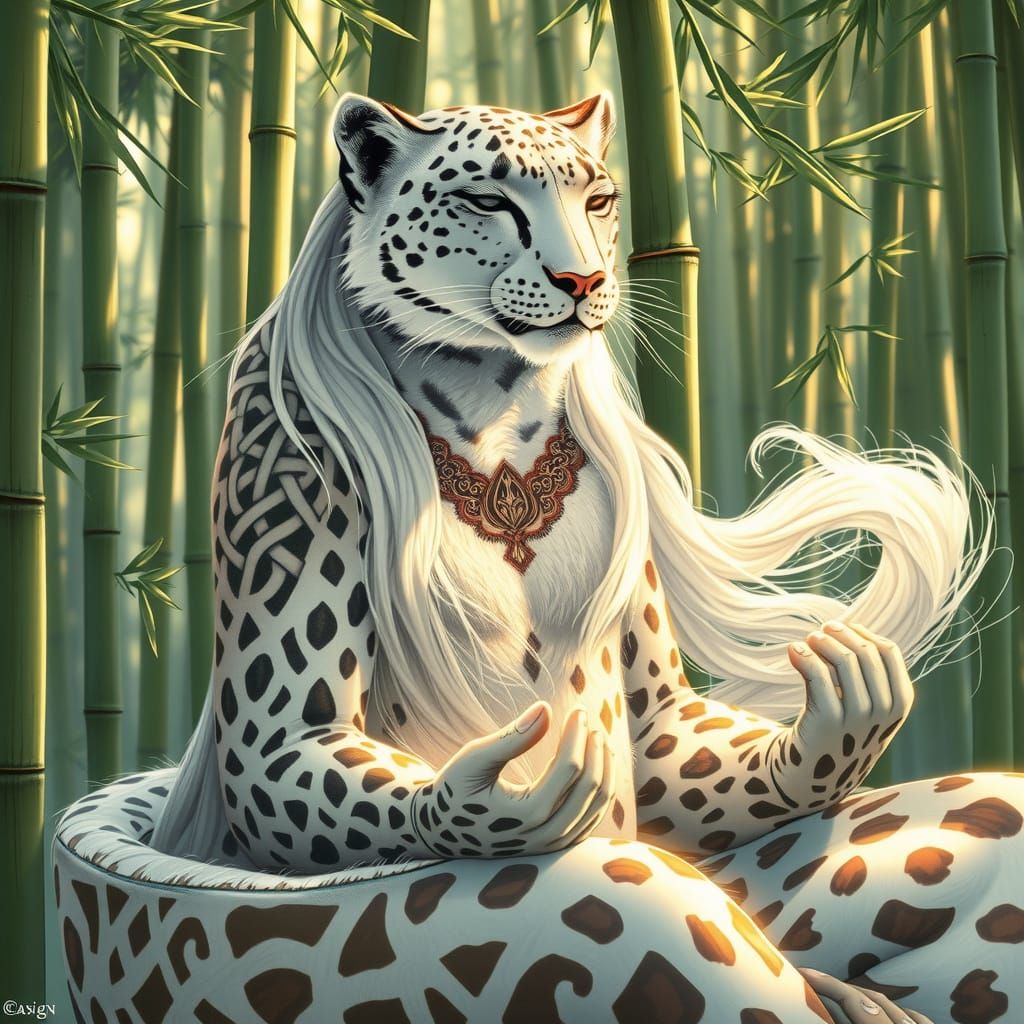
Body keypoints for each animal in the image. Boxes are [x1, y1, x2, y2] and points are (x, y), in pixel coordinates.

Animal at [53, 91, 1024, 1024]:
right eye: (488, 200)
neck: (495, 391)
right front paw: (490, 801)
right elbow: (283, 736)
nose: (583, 279)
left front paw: (841, 710)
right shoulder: (280, 447)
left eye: (597, 200)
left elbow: (661, 728)